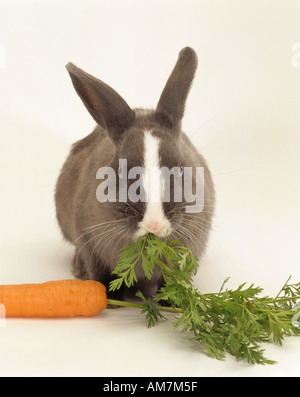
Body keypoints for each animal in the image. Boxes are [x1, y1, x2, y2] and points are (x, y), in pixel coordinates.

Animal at [55, 46, 216, 298]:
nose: (154, 224)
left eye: (180, 170)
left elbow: (172, 280)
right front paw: (110, 299)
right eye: (121, 174)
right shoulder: (88, 241)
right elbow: (100, 275)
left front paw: (171, 301)